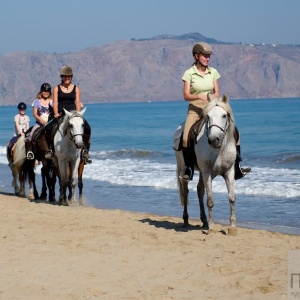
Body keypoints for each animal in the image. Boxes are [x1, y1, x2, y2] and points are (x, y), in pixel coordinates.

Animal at [175, 96, 238, 232]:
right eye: (208, 116)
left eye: (224, 115)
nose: (214, 139)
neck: (219, 149)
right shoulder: (207, 172)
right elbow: (210, 200)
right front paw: (212, 226)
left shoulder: (229, 171)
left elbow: (231, 197)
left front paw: (232, 226)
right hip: (184, 168)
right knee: (185, 191)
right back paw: (186, 219)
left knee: (200, 190)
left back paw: (204, 220)